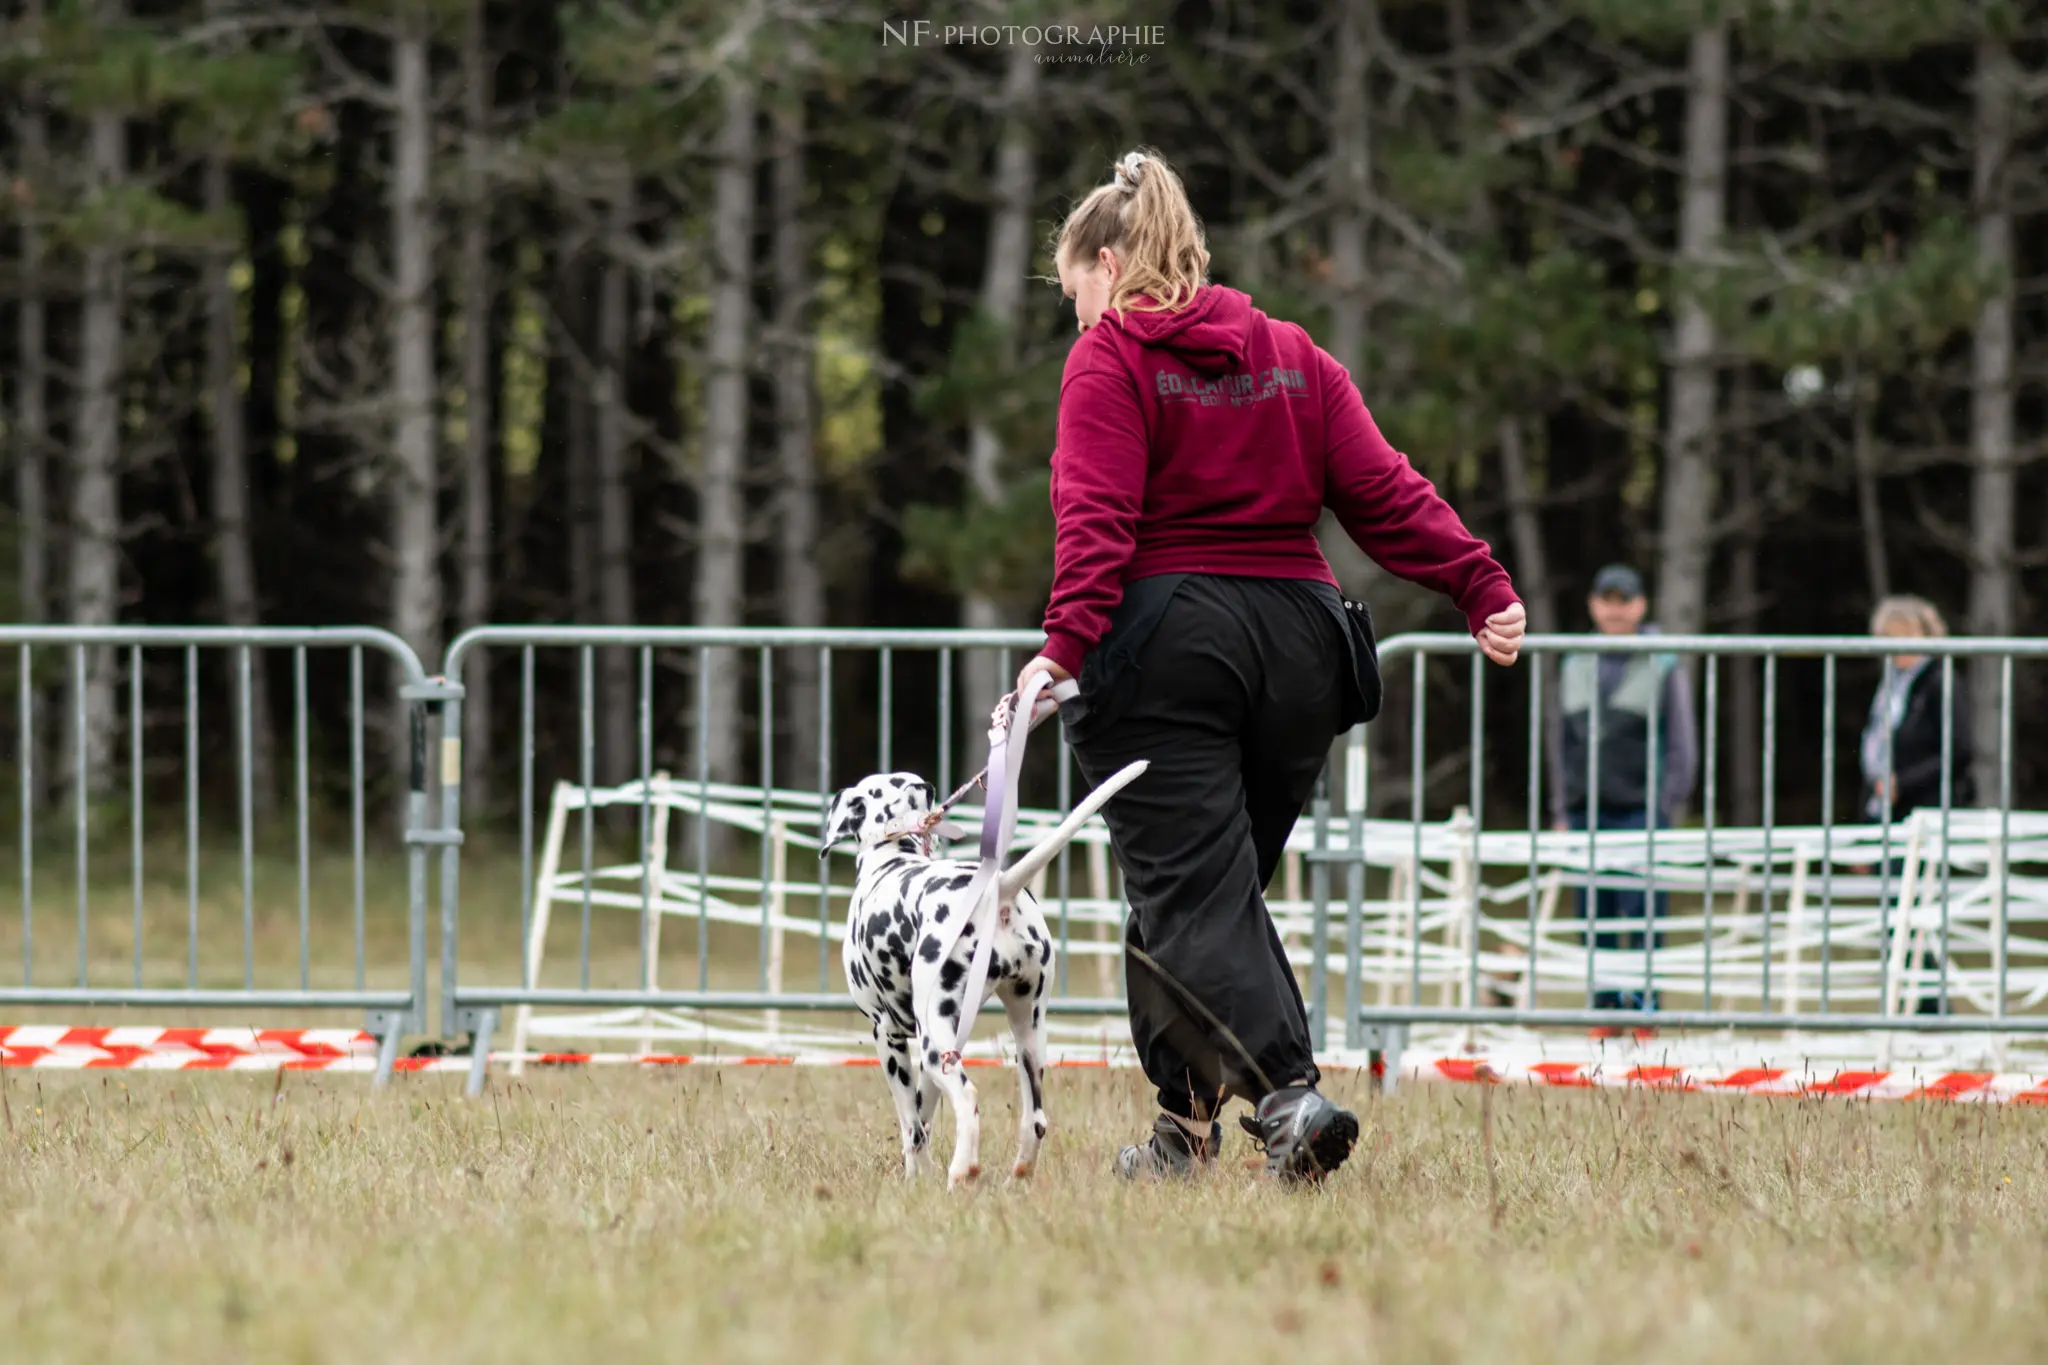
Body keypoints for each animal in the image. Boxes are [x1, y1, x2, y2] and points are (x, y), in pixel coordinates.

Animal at [827, 765, 1155, 1186]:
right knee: (1035, 1120)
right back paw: (1016, 1179)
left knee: (968, 1100)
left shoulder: (888, 1037)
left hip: (936, 1045)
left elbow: (912, 1126)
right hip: (1027, 1035)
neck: (892, 856)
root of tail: (996, 890)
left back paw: (961, 1173)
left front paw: (918, 1180)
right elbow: (924, 1119)